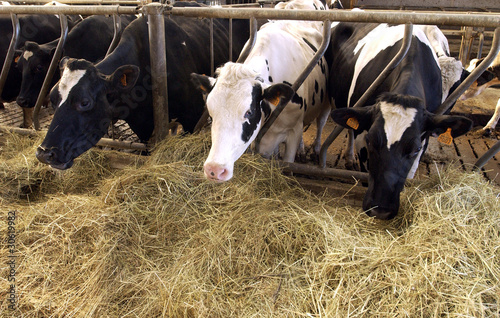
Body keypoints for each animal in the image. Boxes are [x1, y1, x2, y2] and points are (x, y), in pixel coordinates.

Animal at [191, 0, 332, 181]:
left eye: (249, 112)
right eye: (210, 114)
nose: (214, 169)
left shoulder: (294, 130)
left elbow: (289, 163)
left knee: (321, 121)